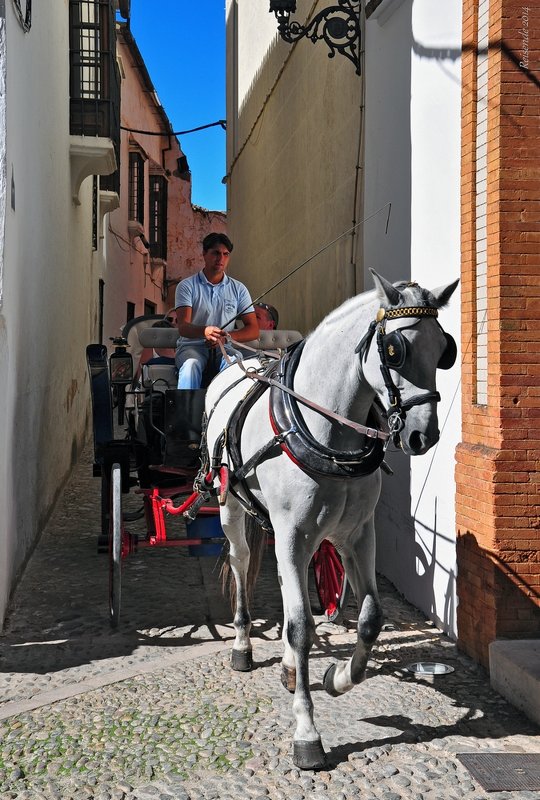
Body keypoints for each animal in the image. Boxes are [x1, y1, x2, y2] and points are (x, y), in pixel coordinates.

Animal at [202, 272, 460, 772]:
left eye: (445, 348)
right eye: (394, 349)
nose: (424, 435)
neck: (325, 429)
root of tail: (239, 364)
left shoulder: (355, 534)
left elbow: (370, 618)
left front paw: (336, 677)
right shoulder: (293, 533)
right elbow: (303, 627)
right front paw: (307, 731)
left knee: (287, 586)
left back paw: (287, 665)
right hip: (231, 507)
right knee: (242, 564)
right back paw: (242, 644)